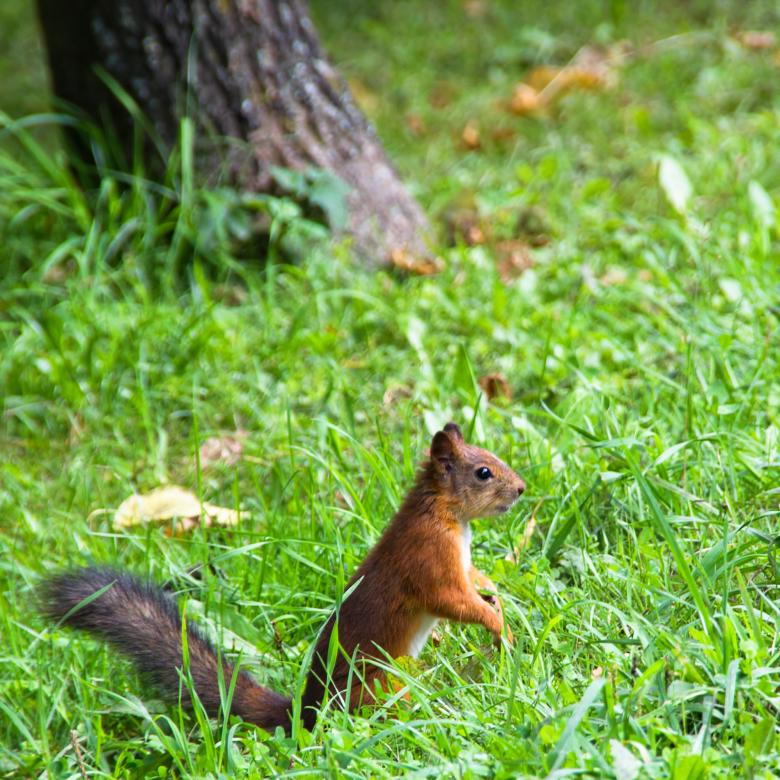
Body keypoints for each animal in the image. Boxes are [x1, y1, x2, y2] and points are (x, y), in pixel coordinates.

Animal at [42, 422, 525, 732]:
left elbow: (474, 578)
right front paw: (496, 622)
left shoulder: (458, 561)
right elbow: (450, 600)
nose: (522, 489)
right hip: (382, 684)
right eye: (484, 472)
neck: (444, 511)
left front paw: (495, 594)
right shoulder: (429, 559)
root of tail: (307, 710)